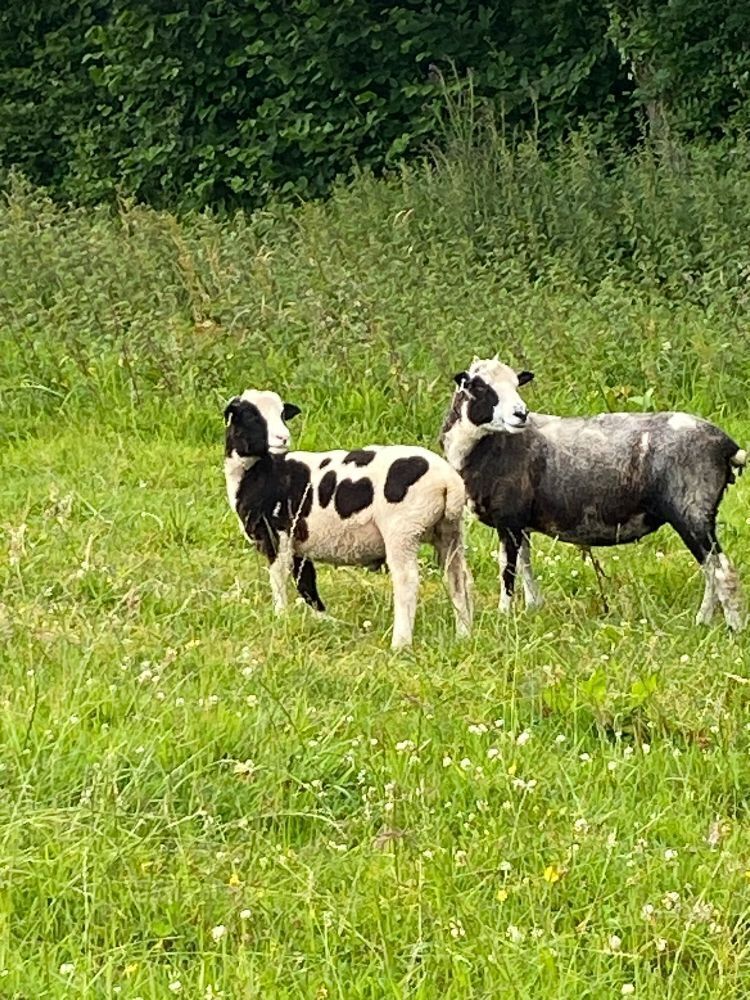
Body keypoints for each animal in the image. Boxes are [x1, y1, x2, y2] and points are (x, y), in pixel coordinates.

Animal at [224, 389, 473, 648]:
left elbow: (279, 578)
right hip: (450, 530)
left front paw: (280, 616)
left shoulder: (275, 535)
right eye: (251, 415)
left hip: (403, 531)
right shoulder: (299, 542)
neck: (259, 471)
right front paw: (324, 620)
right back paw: (464, 635)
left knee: (407, 582)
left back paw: (400, 643)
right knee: (459, 579)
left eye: (282, 414)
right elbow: (307, 583)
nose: (283, 438)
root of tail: (449, 481)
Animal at [440, 357, 746, 630]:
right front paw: (532, 608)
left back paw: (734, 628)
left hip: (691, 510)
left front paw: (504, 617)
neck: (485, 447)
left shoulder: (508, 519)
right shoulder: (519, 522)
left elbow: (507, 569)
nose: (521, 414)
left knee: (722, 571)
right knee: (711, 570)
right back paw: (703, 621)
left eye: (517, 385)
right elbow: (526, 564)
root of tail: (727, 446)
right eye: (480, 387)